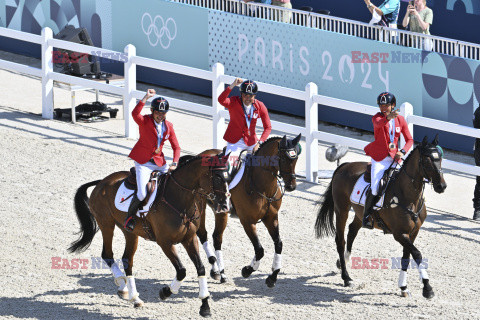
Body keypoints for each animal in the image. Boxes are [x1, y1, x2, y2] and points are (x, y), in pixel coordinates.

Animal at [67, 153, 231, 318]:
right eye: (217, 178)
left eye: (228, 177)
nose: (225, 205)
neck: (180, 201)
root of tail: (102, 182)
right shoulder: (165, 243)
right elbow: (181, 271)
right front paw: (166, 291)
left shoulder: (189, 239)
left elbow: (200, 268)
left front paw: (205, 306)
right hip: (106, 224)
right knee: (107, 254)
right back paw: (122, 285)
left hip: (130, 233)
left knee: (127, 260)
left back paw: (134, 297)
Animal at [194, 134, 300, 288]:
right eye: (284, 158)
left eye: (296, 158)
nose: (291, 186)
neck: (263, 187)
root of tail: (201, 154)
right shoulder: (247, 221)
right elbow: (260, 250)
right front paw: (247, 270)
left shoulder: (272, 217)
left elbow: (278, 244)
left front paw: (273, 276)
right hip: (200, 207)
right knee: (204, 234)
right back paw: (219, 271)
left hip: (220, 212)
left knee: (216, 237)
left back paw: (218, 272)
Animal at [316, 135, 446, 298]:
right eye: (427, 161)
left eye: (440, 158)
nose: (442, 186)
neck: (409, 197)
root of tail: (344, 166)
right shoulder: (399, 234)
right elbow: (417, 254)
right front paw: (427, 289)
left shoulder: (413, 232)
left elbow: (406, 257)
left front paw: (403, 287)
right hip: (341, 210)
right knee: (341, 241)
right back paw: (346, 278)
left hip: (359, 213)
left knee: (352, 231)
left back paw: (342, 262)